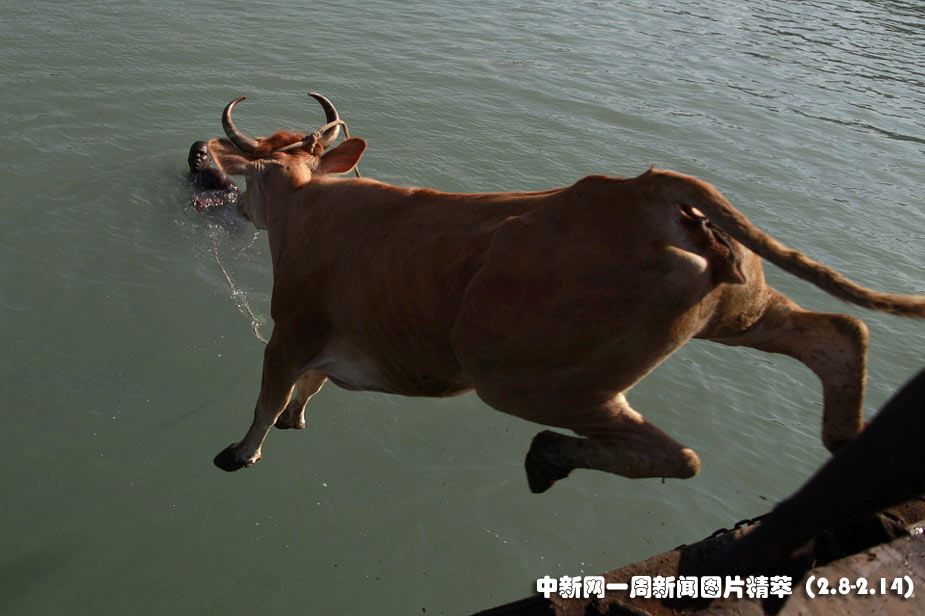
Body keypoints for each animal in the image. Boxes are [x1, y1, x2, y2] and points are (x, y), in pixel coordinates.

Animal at [206, 92, 924, 493]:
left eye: (252, 177)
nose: (242, 208)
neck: (312, 204)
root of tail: (643, 189)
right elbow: (309, 388)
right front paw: (297, 420)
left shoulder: (290, 329)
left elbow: (270, 396)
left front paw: (241, 453)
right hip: (740, 310)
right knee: (837, 333)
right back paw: (843, 438)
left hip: (532, 379)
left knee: (679, 456)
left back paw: (550, 456)